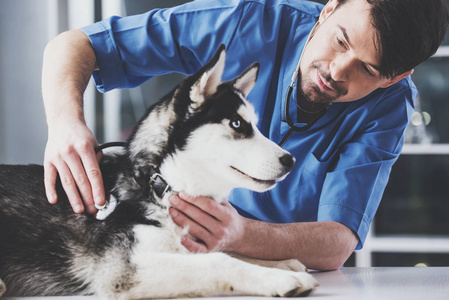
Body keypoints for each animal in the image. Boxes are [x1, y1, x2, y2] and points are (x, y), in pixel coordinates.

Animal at [0, 45, 316, 298]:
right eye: (237, 124)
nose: (290, 160)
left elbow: (225, 249)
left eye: (255, 125)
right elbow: (220, 260)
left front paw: (280, 262)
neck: (159, 186)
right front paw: (281, 277)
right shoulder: (123, 272)